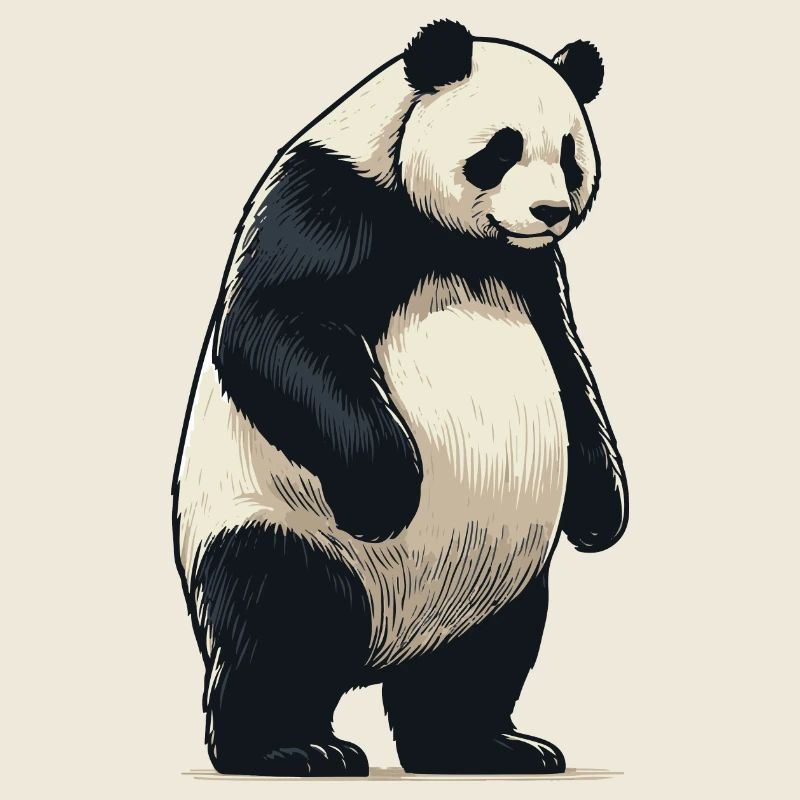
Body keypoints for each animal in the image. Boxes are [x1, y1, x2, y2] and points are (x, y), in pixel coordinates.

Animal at [172, 20, 628, 777]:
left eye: (569, 156)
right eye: (500, 150)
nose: (549, 211)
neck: (455, 240)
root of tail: (387, 645)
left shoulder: (531, 269)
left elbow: (570, 368)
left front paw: (600, 515)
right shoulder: (327, 199)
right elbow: (277, 328)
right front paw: (386, 491)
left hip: (504, 568)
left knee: (477, 660)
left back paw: (483, 745)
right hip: (278, 522)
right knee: (279, 619)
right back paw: (291, 748)